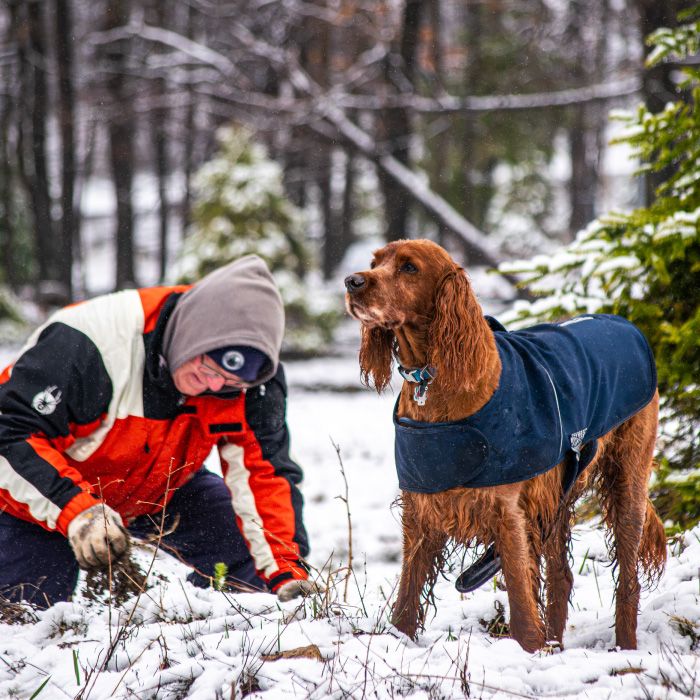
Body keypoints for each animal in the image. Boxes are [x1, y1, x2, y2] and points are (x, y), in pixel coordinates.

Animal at [344, 238, 666, 652]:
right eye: (375, 262)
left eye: (409, 268)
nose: (352, 281)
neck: (432, 379)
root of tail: (625, 323)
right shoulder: (420, 513)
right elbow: (406, 601)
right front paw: (399, 641)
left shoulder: (508, 513)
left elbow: (520, 602)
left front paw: (529, 650)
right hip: (557, 496)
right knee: (562, 577)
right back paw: (556, 645)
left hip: (627, 482)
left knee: (628, 579)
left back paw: (624, 647)